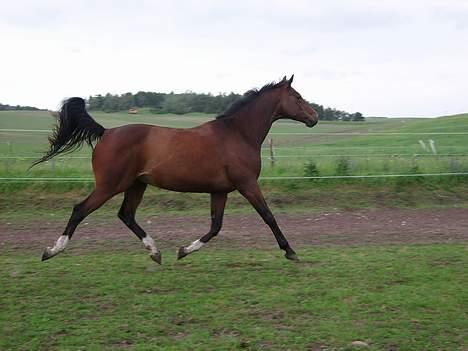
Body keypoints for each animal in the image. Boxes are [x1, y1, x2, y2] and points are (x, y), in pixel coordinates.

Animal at [33, 76, 318, 264]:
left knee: (126, 215)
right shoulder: (247, 184)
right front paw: (290, 251)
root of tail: (106, 132)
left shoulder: (220, 191)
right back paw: (52, 251)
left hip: (136, 184)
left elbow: (215, 226)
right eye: (297, 97)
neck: (237, 133)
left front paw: (183, 251)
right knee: (80, 210)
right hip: (110, 186)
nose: (314, 117)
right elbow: (268, 216)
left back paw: (155, 252)